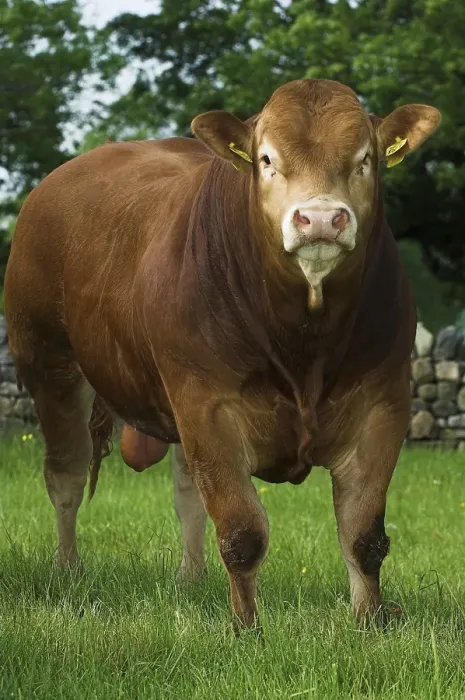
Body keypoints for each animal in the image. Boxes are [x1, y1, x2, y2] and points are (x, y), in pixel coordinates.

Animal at [4, 79, 440, 633]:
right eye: (267, 158)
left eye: (366, 158)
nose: (321, 219)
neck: (305, 344)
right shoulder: (207, 406)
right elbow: (242, 531)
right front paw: (247, 631)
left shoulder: (383, 406)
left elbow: (363, 535)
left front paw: (368, 623)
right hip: (50, 365)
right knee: (67, 474)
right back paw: (67, 568)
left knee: (186, 491)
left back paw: (191, 578)